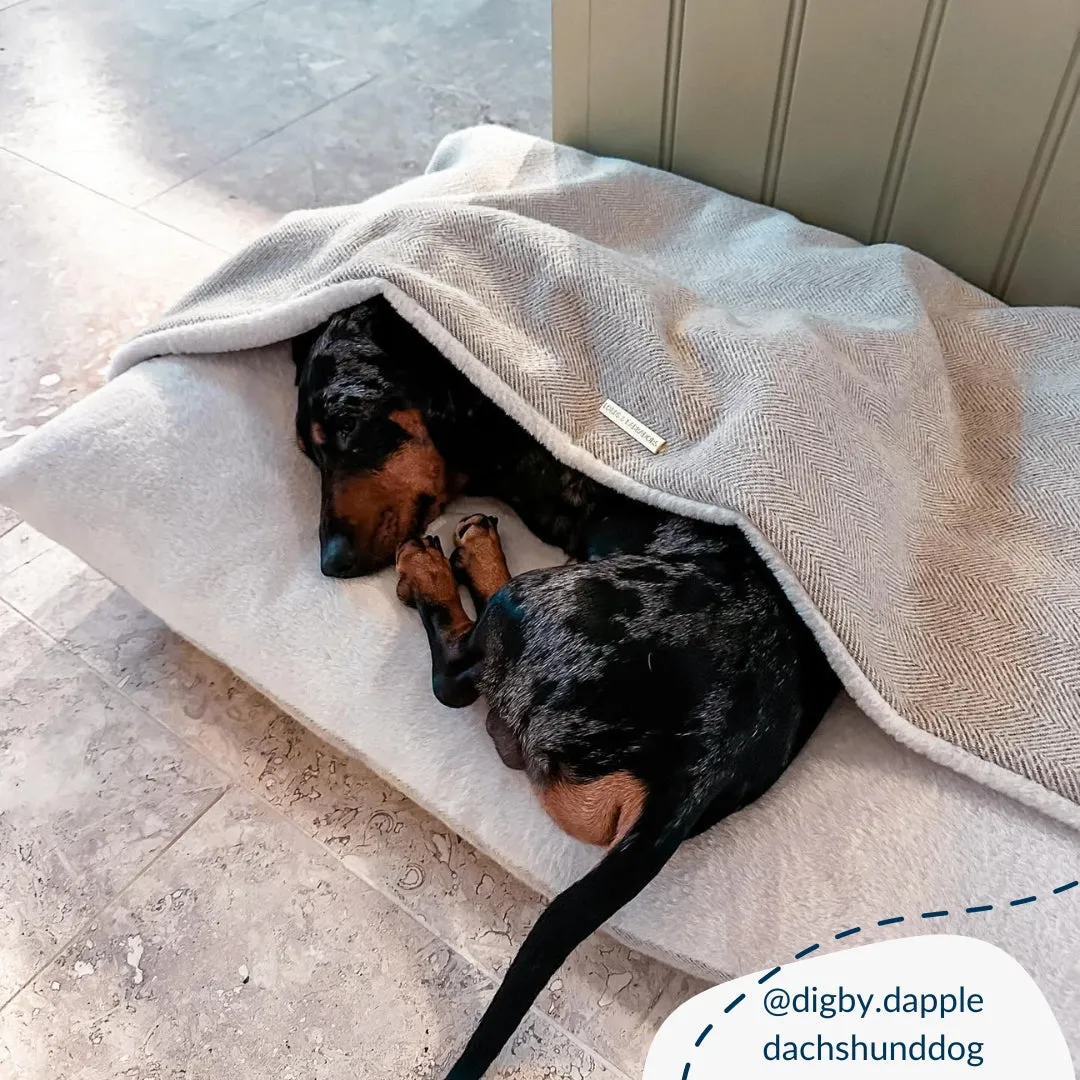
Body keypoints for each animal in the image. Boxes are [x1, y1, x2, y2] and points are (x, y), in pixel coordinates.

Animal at [295, 300, 842, 1080]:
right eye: (306, 452)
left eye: (348, 424)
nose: (330, 562)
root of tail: (699, 769)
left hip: (535, 598)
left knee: (456, 674)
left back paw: (449, 564)